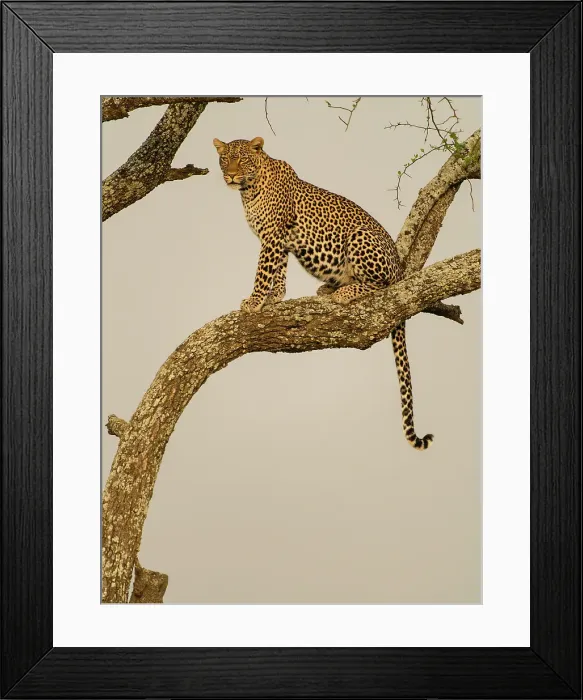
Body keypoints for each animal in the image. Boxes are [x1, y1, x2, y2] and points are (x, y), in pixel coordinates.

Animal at [213, 136, 433, 451]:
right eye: (224, 159)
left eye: (242, 159)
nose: (230, 175)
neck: (249, 189)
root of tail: (401, 270)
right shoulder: (280, 240)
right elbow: (279, 270)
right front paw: (275, 297)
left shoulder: (272, 236)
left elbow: (263, 271)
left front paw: (254, 301)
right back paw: (329, 287)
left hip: (360, 238)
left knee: (382, 284)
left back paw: (343, 292)